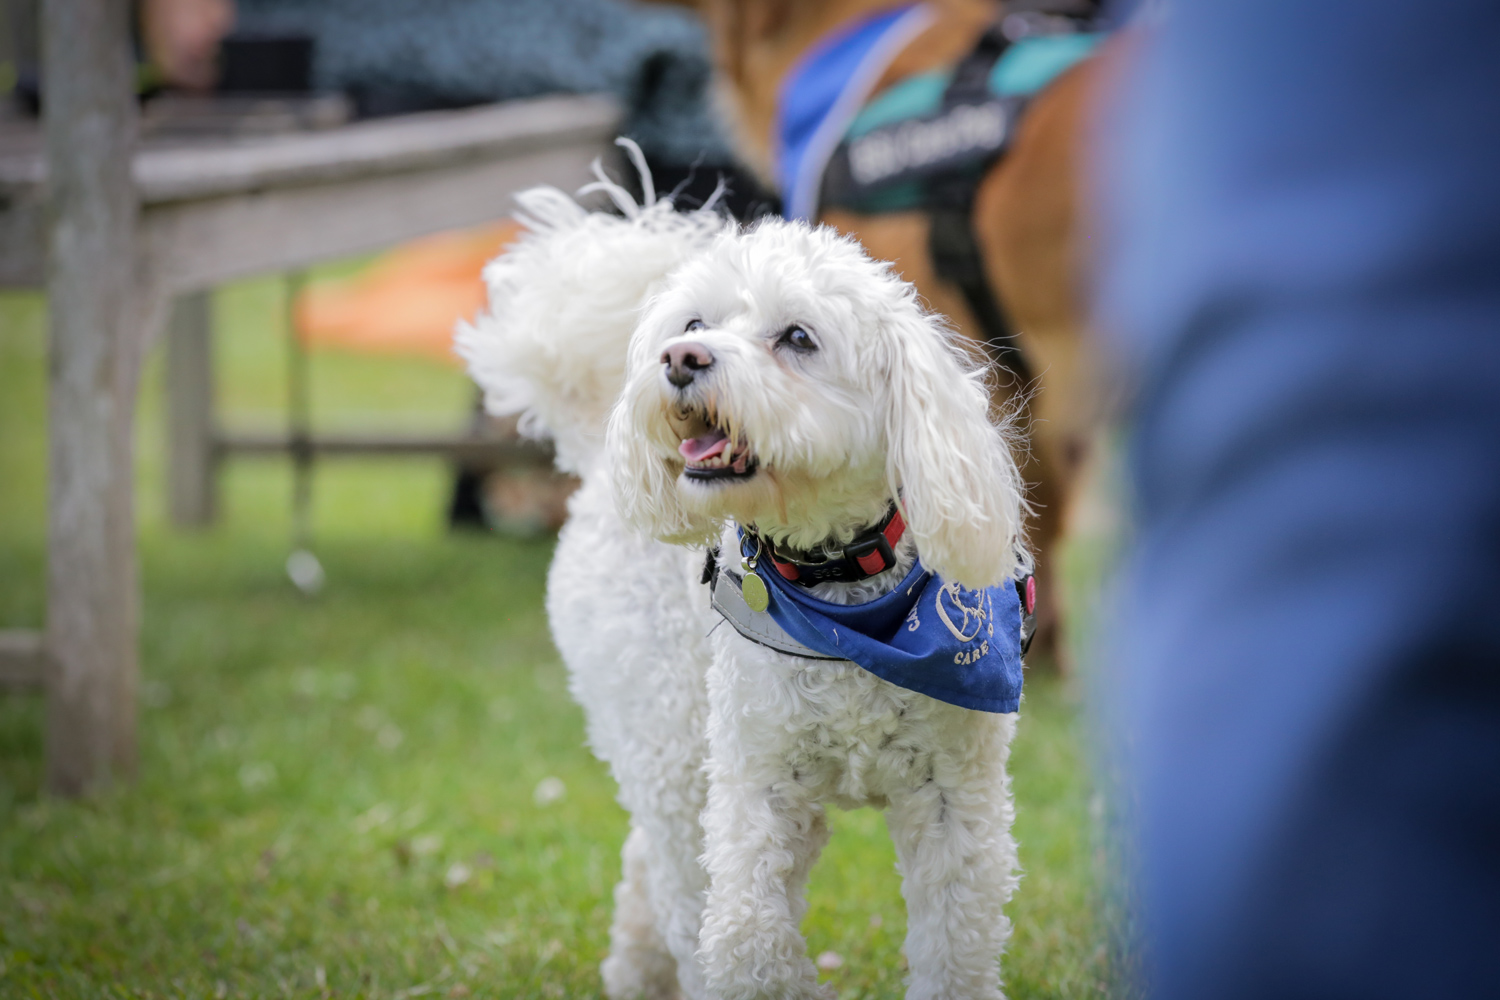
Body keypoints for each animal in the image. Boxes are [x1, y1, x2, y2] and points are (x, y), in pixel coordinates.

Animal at [459, 154, 1032, 1000]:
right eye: (696, 326)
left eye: (798, 337)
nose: (679, 360)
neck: (835, 587)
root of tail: (597, 450)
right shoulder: (756, 784)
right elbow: (745, 936)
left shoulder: (954, 800)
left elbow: (955, 947)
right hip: (669, 740)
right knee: (674, 870)